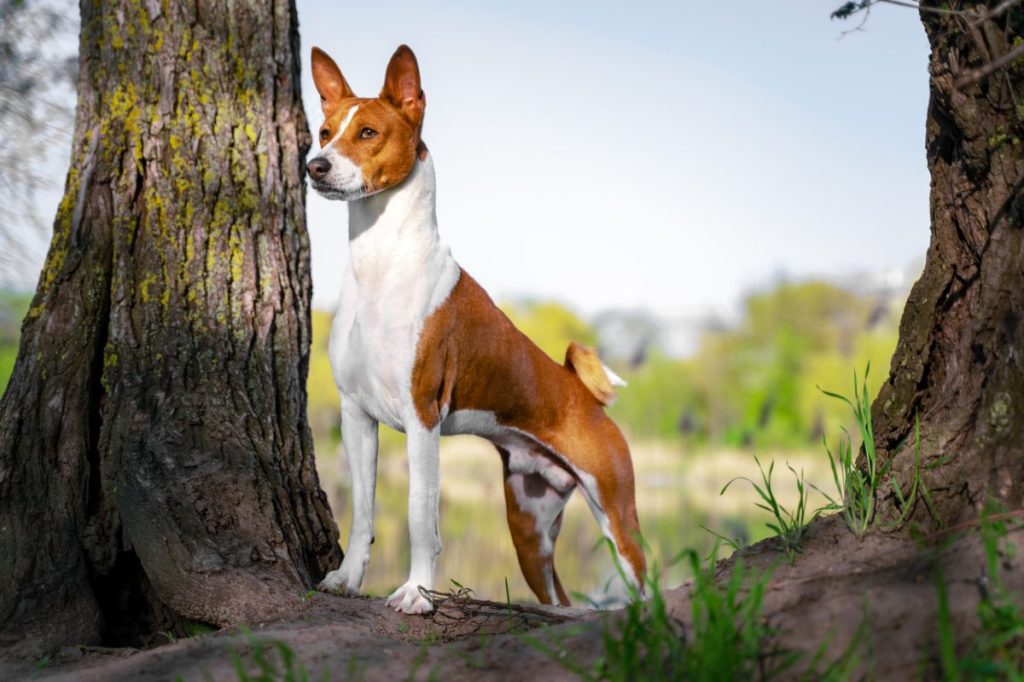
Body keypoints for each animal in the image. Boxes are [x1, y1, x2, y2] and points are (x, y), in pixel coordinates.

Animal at [303, 45, 643, 614]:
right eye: (324, 132)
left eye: (368, 132)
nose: (315, 166)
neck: (380, 266)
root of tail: (584, 395)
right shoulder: (355, 414)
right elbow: (366, 512)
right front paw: (348, 578)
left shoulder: (422, 416)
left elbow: (420, 517)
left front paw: (416, 594)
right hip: (530, 531)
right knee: (560, 600)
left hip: (617, 515)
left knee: (647, 582)